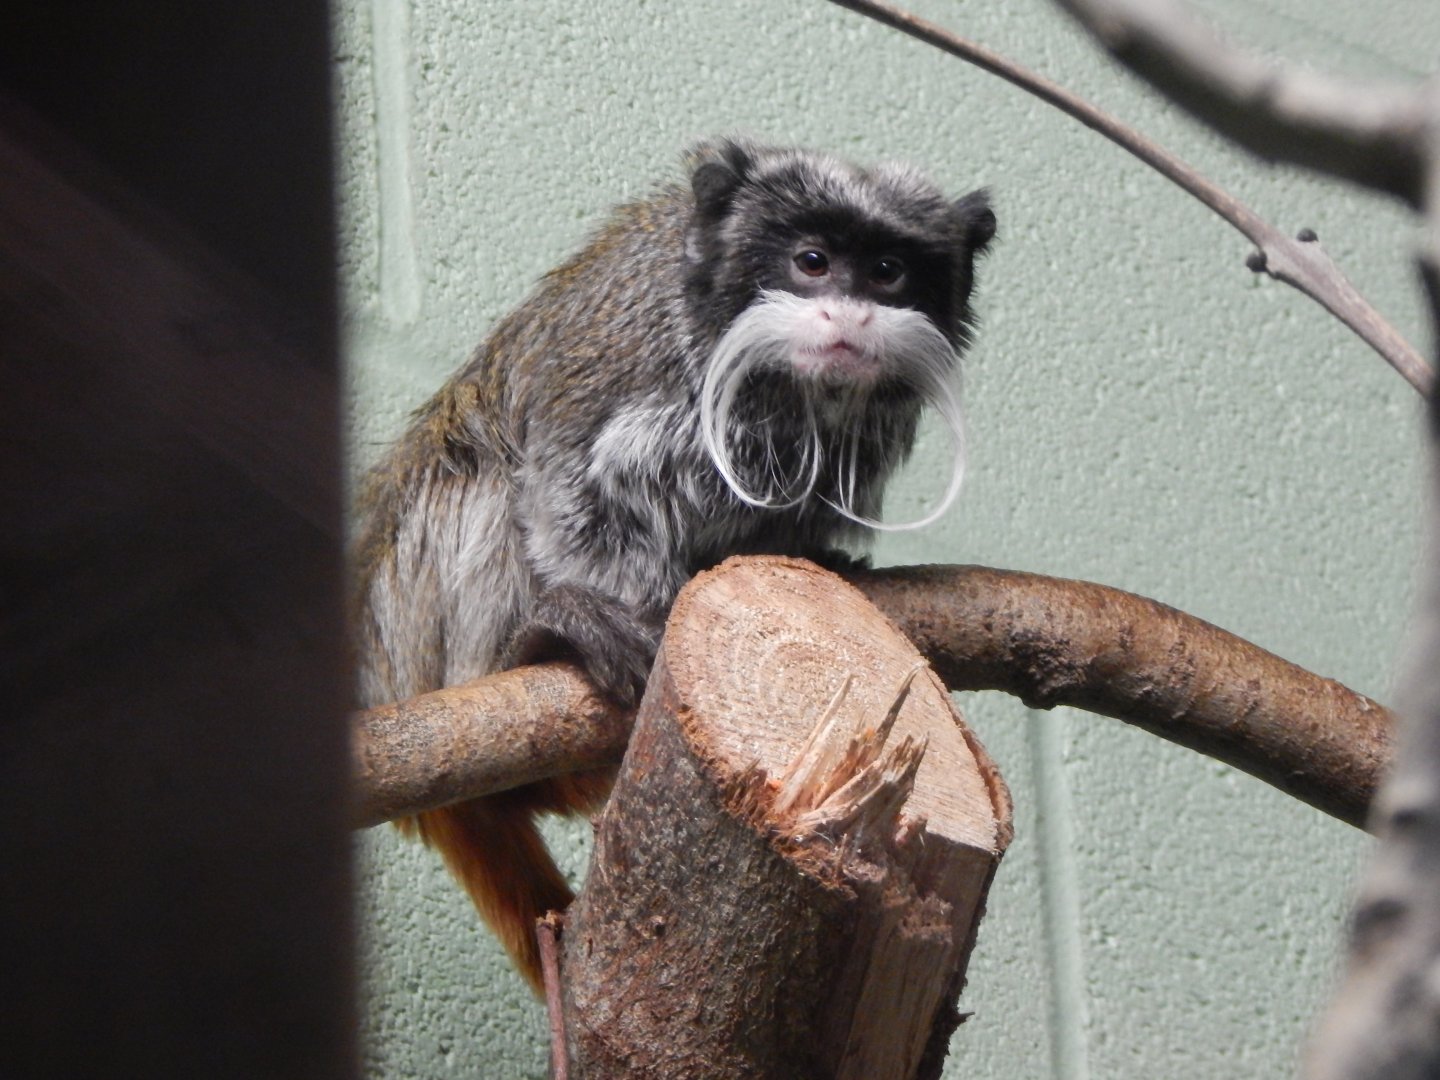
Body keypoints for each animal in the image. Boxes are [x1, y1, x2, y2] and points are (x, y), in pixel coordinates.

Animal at [351, 137, 996, 992]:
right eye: (812, 262)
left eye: (888, 272)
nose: (850, 315)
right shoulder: (629, 349)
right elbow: (564, 483)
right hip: (412, 631)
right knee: (475, 466)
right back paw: (539, 642)